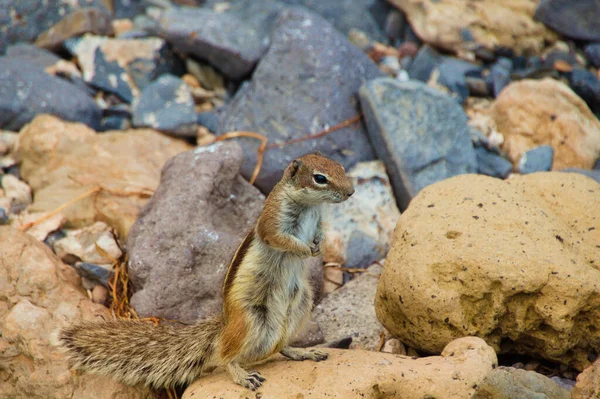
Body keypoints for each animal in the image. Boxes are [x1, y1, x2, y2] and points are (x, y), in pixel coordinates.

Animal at [59, 152, 354, 390]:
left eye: (341, 167)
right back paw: (242, 375)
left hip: (301, 304)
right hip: (250, 319)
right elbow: (280, 239)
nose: (351, 192)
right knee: (226, 355)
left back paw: (303, 352)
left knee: (279, 346)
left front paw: (318, 245)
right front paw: (305, 250)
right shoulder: (273, 222)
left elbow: (320, 231)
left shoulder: (318, 220)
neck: (309, 207)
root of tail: (223, 321)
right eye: (320, 178)